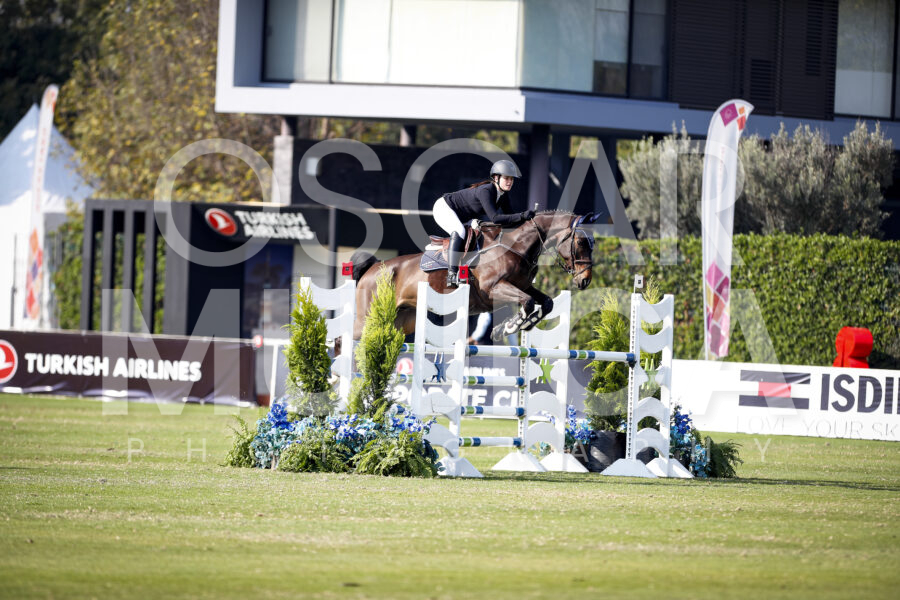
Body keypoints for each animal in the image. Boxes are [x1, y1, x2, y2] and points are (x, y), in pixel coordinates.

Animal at [348, 210, 598, 342]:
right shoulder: (493, 289)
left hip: (400, 320)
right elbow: (527, 303)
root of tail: (373, 268)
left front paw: (517, 325)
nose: (585, 280)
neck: (515, 246)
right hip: (368, 318)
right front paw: (510, 327)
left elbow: (545, 303)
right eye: (580, 242)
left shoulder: (523, 286)